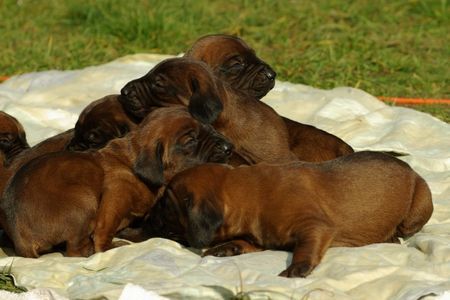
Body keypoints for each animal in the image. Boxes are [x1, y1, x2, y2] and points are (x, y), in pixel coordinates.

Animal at [0, 106, 232, 256]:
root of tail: (22, 241)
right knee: (74, 250)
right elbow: (104, 232)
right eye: (190, 140)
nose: (228, 147)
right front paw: (108, 246)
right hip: (84, 201)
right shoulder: (113, 201)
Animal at [147, 151, 432, 278]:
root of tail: (411, 169)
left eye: (166, 207)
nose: (149, 219)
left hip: (419, 204)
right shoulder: (260, 235)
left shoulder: (315, 226)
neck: (251, 192)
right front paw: (228, 247)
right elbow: (249, 242)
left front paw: (297, 267)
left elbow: (306, 247)